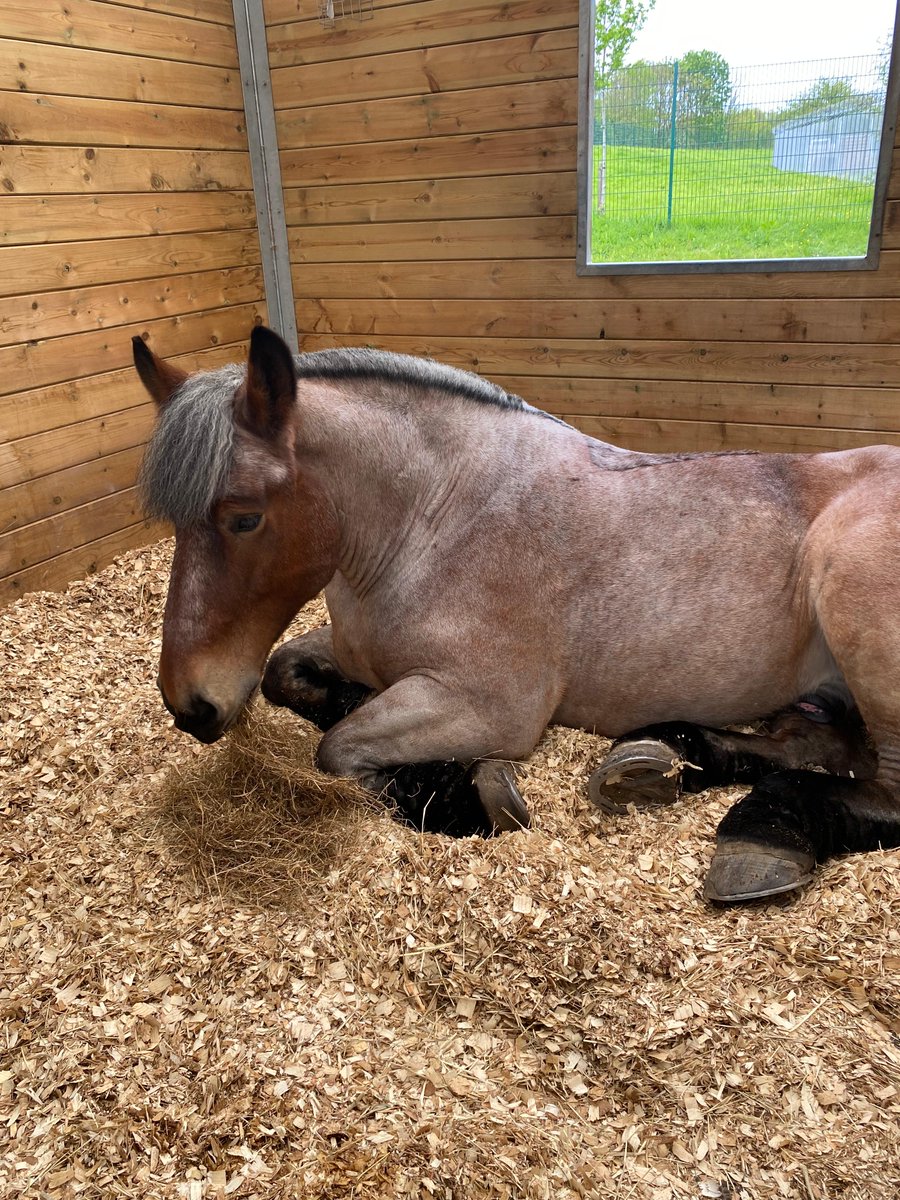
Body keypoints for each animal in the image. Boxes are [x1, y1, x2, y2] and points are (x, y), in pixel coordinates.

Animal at [132, 324, 900, 902]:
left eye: (244, 517)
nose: (190, 705)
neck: (436, 520)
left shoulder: (493, 706)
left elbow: (339, 749)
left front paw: (465, 794)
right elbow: (289, 675)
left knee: (883, 790)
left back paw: (759, 832)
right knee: (812, 747)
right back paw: (662, 762)